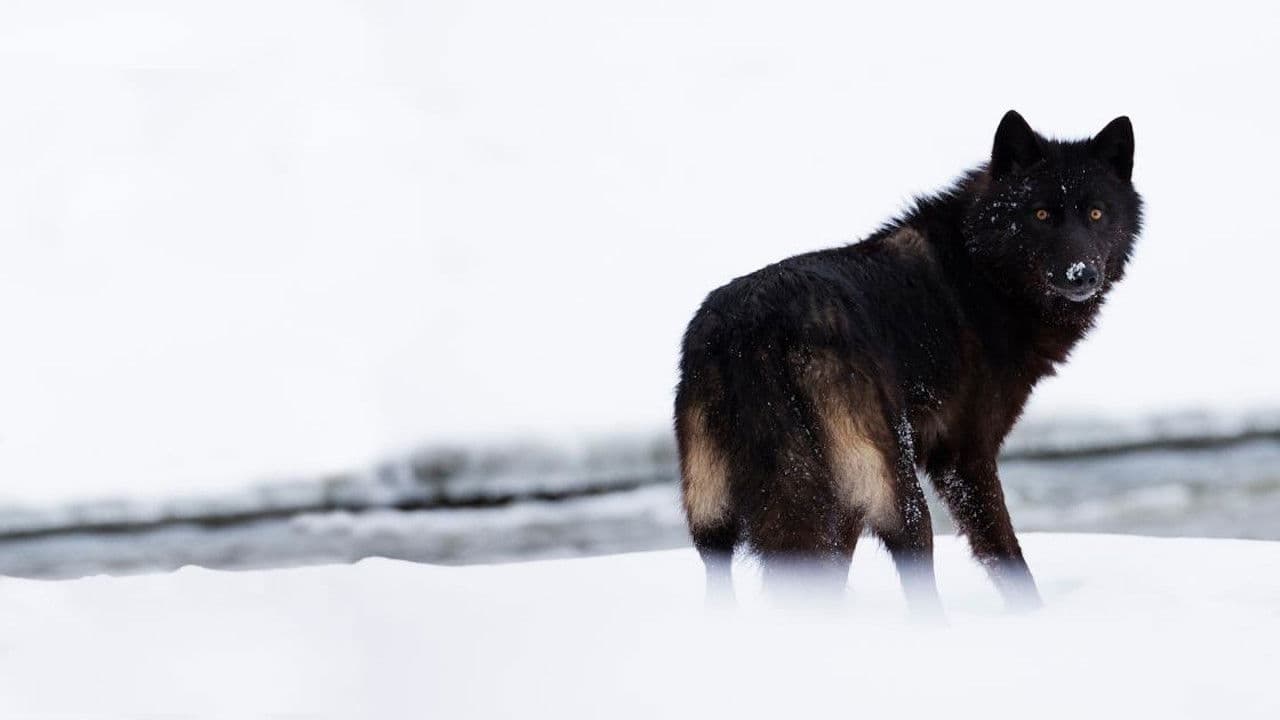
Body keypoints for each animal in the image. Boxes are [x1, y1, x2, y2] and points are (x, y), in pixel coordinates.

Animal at [675, 111, 1141, 614]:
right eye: (1040, 214)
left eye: (1096, 213)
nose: (1082, 274)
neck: (982, 273)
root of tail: (754, 333)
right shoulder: (964, 457)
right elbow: (1007, 557)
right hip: (898, 494)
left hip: (718, 517)